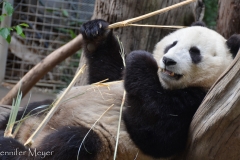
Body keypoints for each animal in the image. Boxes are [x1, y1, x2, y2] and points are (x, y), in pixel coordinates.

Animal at [0, 19, 240, 159]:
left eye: (194, 52)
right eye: (173, 44)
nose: (167, 61)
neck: (163, 83)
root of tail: (29, 133)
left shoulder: (200, 102)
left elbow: (160, 136)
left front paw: (140, 59)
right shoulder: (115, 81)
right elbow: (106, 76)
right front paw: (96, 32)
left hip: (100, 145)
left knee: (75, 142)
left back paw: (13, 149)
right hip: (45, 111)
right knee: (28, 111)